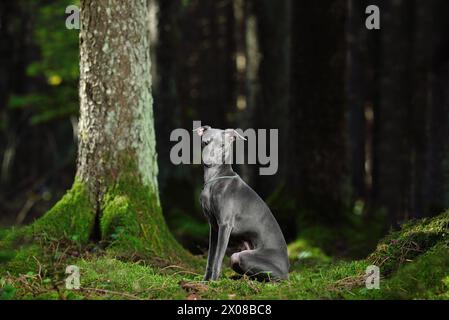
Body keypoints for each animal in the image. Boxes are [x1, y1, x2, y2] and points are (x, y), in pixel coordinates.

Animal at [194, 126, 288, 282]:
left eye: (223, 145)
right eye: (205, 142)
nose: (209, 161)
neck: (215, 178)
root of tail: (287, 269)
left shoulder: (225, 225)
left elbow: (218, 259)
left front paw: (214, 282)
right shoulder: (214, 227)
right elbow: (210, 258)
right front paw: (205, 281)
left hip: (241, 256)